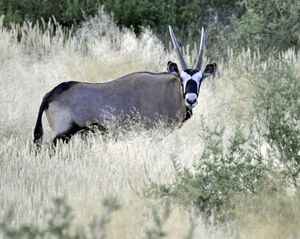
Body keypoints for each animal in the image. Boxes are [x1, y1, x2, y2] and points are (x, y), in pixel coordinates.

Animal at [33, 26, 216, 146]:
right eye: (181, 79)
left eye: (200, 79)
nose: (191, 100)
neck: (167, 91)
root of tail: (51, 94)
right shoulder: (150, 133)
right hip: (61, 135)